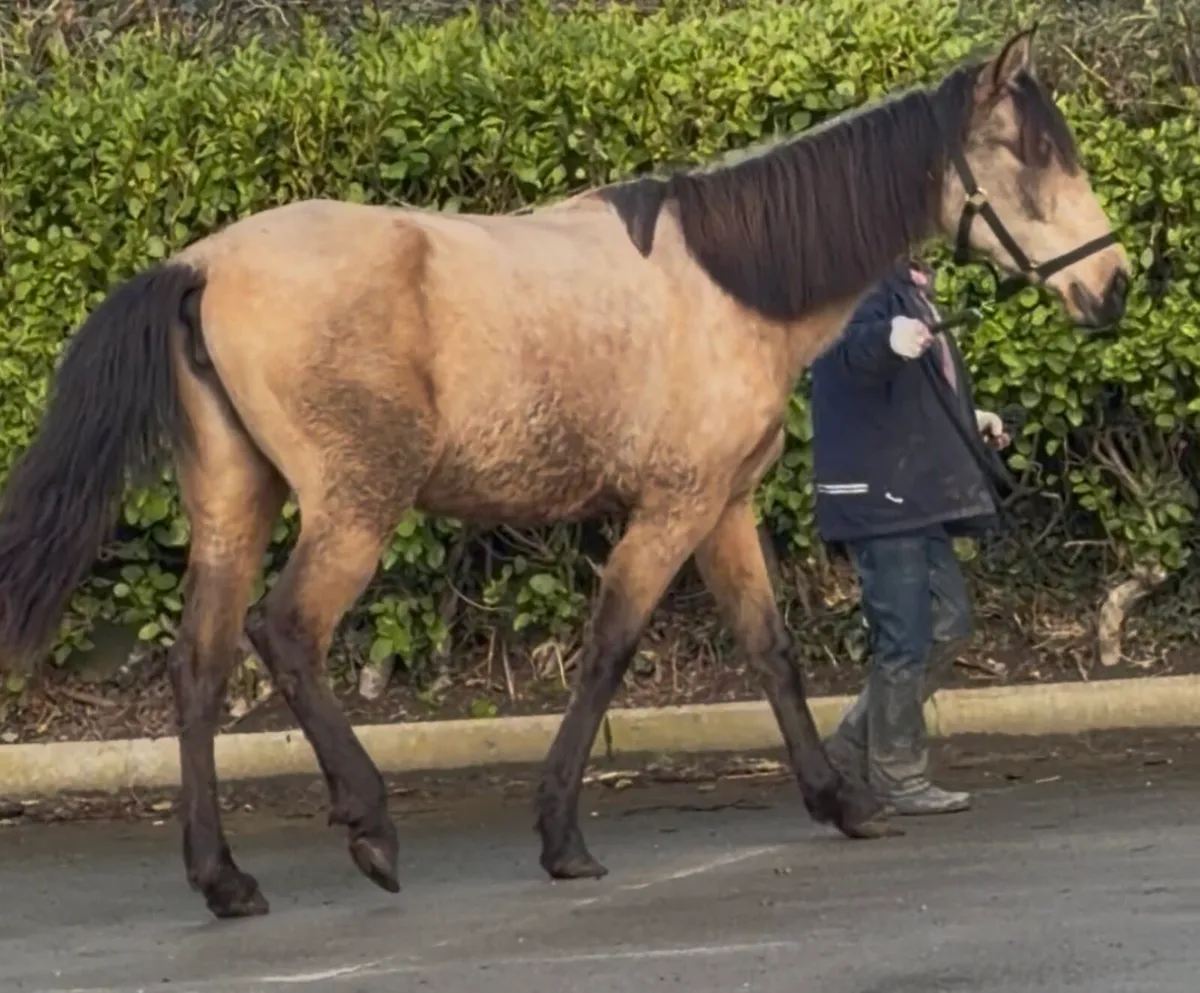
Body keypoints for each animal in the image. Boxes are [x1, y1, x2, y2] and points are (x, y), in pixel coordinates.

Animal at [0, 26, 1128, 920]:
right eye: (1031, 151)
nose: (1113, 287)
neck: (732, 281)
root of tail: (200, 265)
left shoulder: (723, 508)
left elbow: (772, 652)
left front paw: (840, 801)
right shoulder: (671, 510)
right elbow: (607, 652)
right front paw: (562, 838)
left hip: (236, 503)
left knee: (197, 668)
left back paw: (225, 879)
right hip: (354, 508)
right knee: (286, 635)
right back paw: (369, 826)